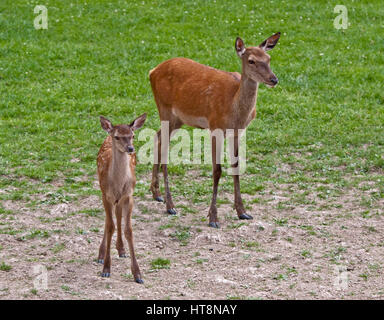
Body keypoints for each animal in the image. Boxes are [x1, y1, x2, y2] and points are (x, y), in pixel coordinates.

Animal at [97, 114, 147, 284]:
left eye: (132, 135)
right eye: (117, 137)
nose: (130, 148)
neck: (118, 184)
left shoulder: (129, 196)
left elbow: (129, 230)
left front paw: (138, 274)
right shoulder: (106, 195)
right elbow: (109, 226)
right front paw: (106, 269)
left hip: (121, 199)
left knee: (118, 215)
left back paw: (121, 249)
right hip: (103, 191)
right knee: (109, 220)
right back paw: (101, 254)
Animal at [148, 32, 280, 228]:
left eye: (268, 58)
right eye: (251, 61)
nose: (274, 79)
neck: (234, 109)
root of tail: (152, 71)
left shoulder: (237, 132)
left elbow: (236, 165)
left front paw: (243, 212)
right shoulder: (214, 127)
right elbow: (217, 170)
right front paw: (213, 218)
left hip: (177, 119)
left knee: (157, 138)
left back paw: (156, 194)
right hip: (164, 108)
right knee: (164, 148)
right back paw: (170, 205)